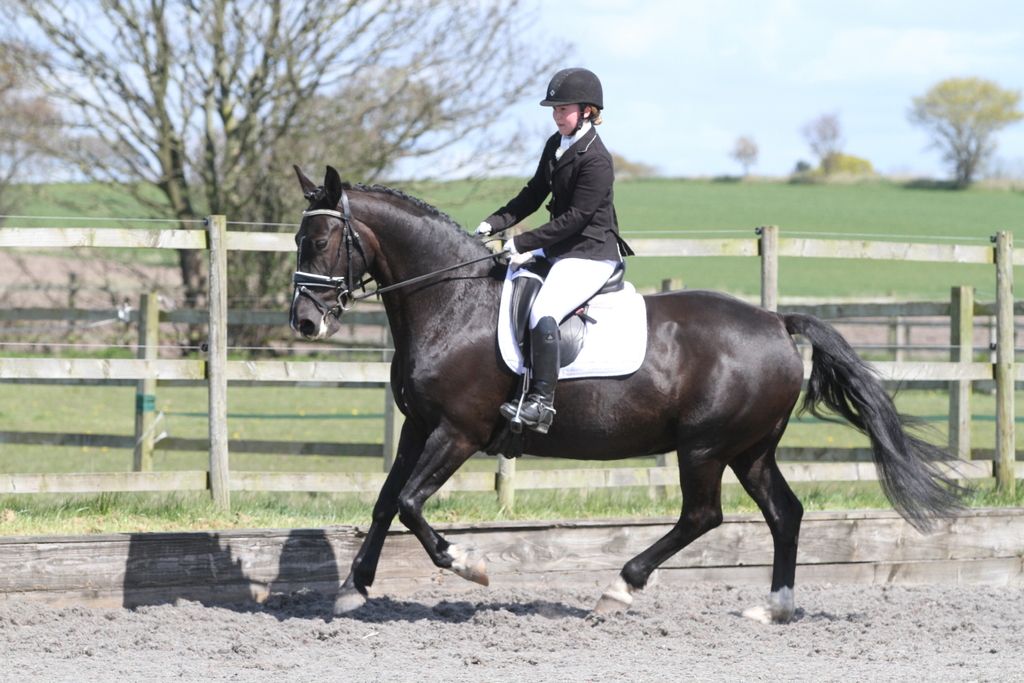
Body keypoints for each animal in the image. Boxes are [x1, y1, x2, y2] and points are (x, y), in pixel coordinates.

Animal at [288, 165, 962, 623]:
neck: (451, 303)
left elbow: (409, 503)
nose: (305, 323)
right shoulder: (419, 426)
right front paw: (353, 589)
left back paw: (621, 585)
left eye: (319, 242)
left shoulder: (458, 431)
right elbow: (384, 502)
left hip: (705, 447)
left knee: (702, 515)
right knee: (784, 513)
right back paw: (773, 607)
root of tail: (776, 321)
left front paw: (470, 565)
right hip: (749, 450)